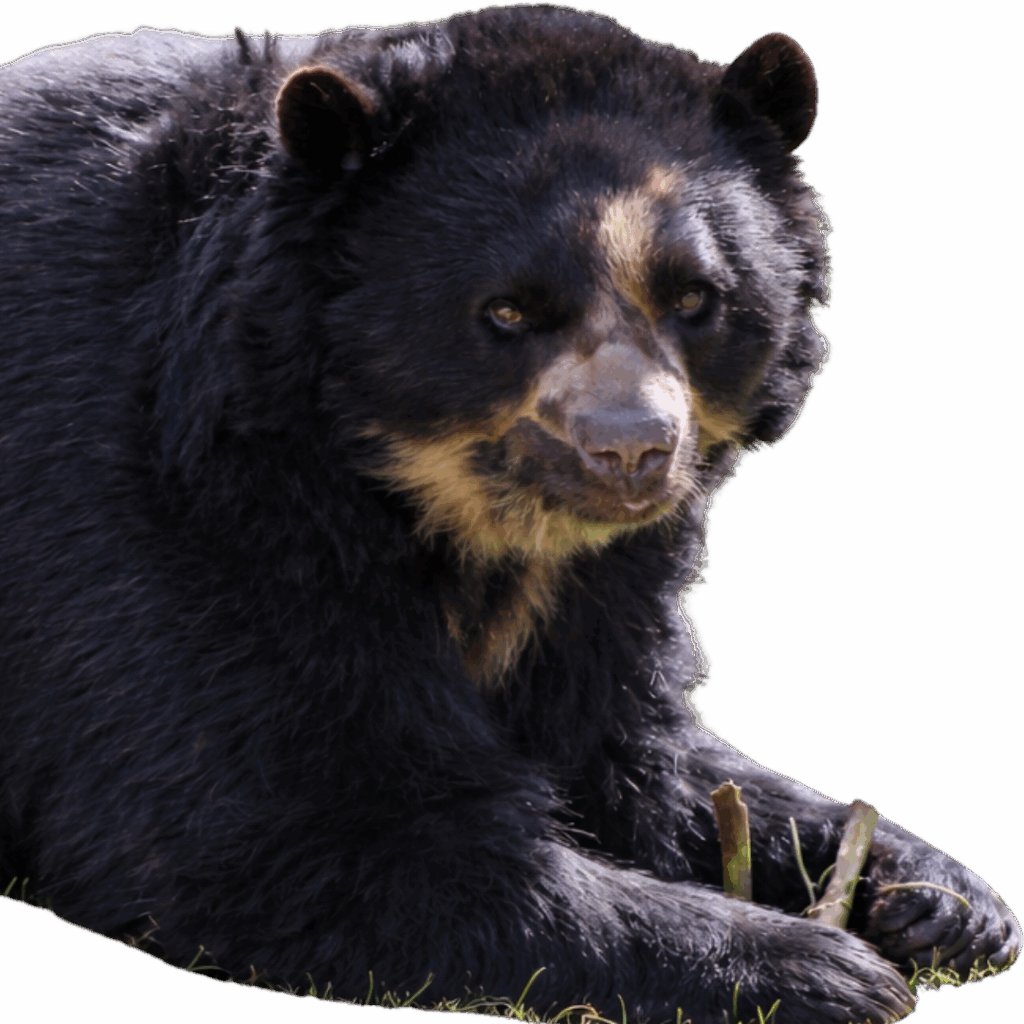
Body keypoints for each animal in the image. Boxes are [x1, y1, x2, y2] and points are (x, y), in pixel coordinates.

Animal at [0, 6, 1018, 1024]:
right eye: (508, 311)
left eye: (697, 297)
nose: (631, 450)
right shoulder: (148, 496)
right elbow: (273, 823)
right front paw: (812, 966)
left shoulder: (600, 582)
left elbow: (634, 753)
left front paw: (942, 901)